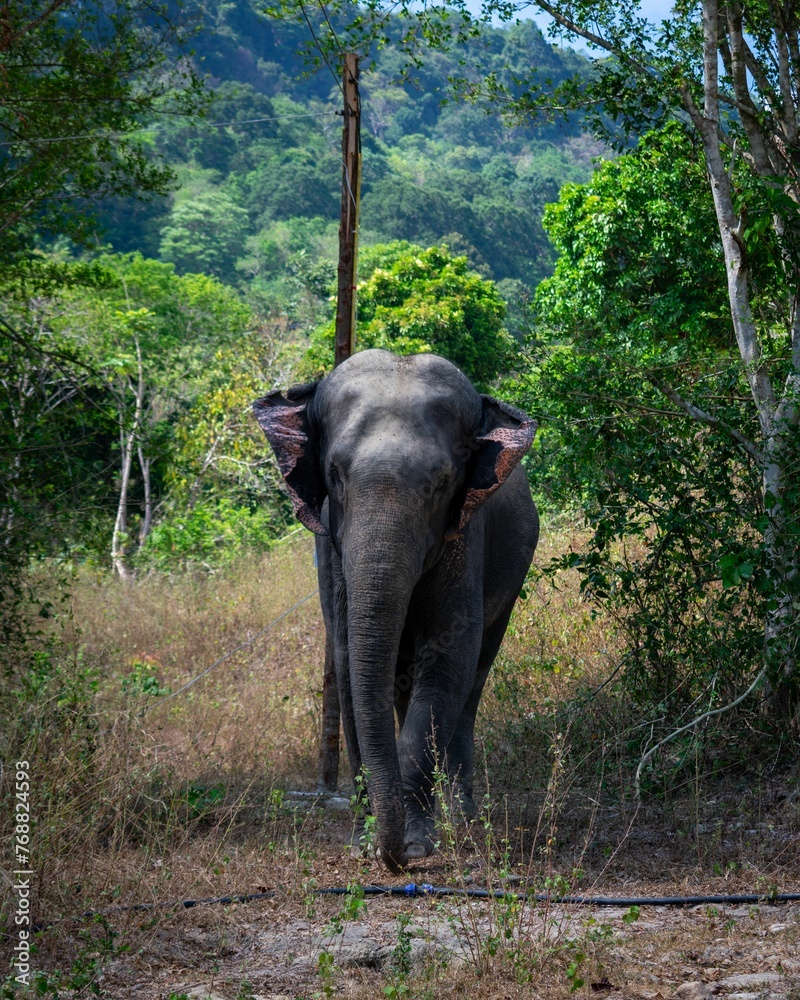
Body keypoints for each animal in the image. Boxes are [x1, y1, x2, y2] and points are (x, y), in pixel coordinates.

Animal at [253, 349, 539, 871]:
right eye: (335, 474)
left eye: (442, 484)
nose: (394, 858)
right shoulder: (332, 554)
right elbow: (348, 664)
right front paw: (367, 843)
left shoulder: (464, 537)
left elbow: (448, 659)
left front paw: (416, 842)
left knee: (472, 682)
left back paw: (463, 818)